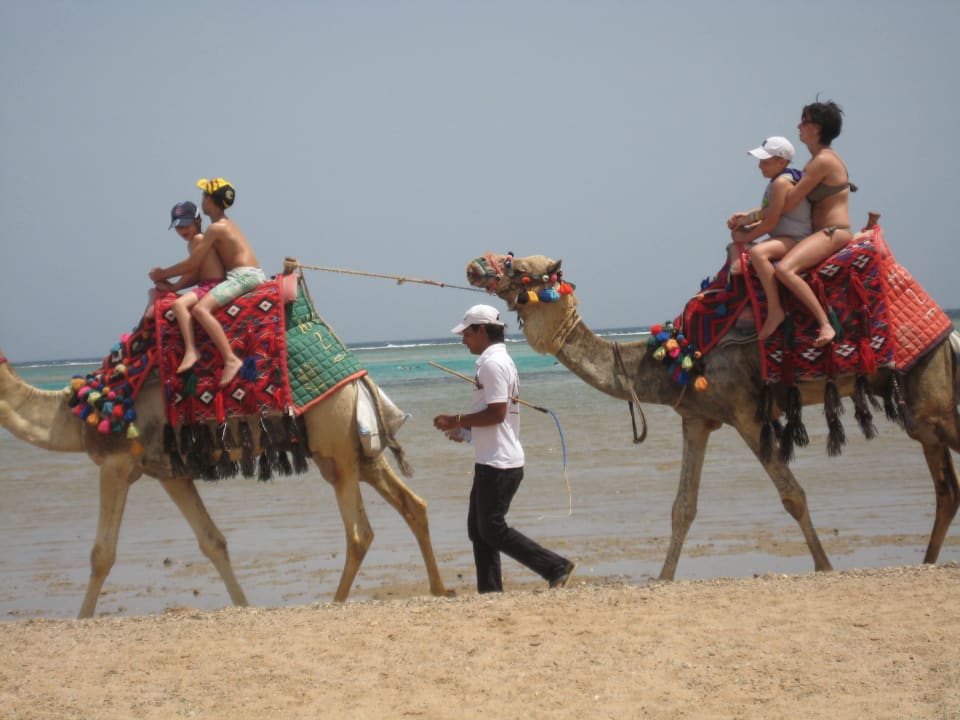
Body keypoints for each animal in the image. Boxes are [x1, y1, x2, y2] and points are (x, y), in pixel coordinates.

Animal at [0, 349, 449, 618]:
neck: (76, 415)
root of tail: (359, 378)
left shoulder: (115, 464)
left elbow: (101, 554)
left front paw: (82, 618)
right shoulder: (170, 472)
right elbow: (213, 541)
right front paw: (243, 605)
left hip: (334, 443)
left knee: (359, 533)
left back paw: (335, 601)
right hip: (358, 450)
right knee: (413, 505)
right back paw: (441, 589)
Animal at [465, 251, 960, 580]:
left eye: (517, 266)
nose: (473, 265)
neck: (674, 356)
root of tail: (947, 331)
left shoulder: (746, 411)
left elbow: (793, 495)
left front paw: (823, 565)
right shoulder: (697, 418)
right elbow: (682, 507)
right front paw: (663, 579)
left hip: (927, 391)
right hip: (923, 404)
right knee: (946, 490)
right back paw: (928, 563)